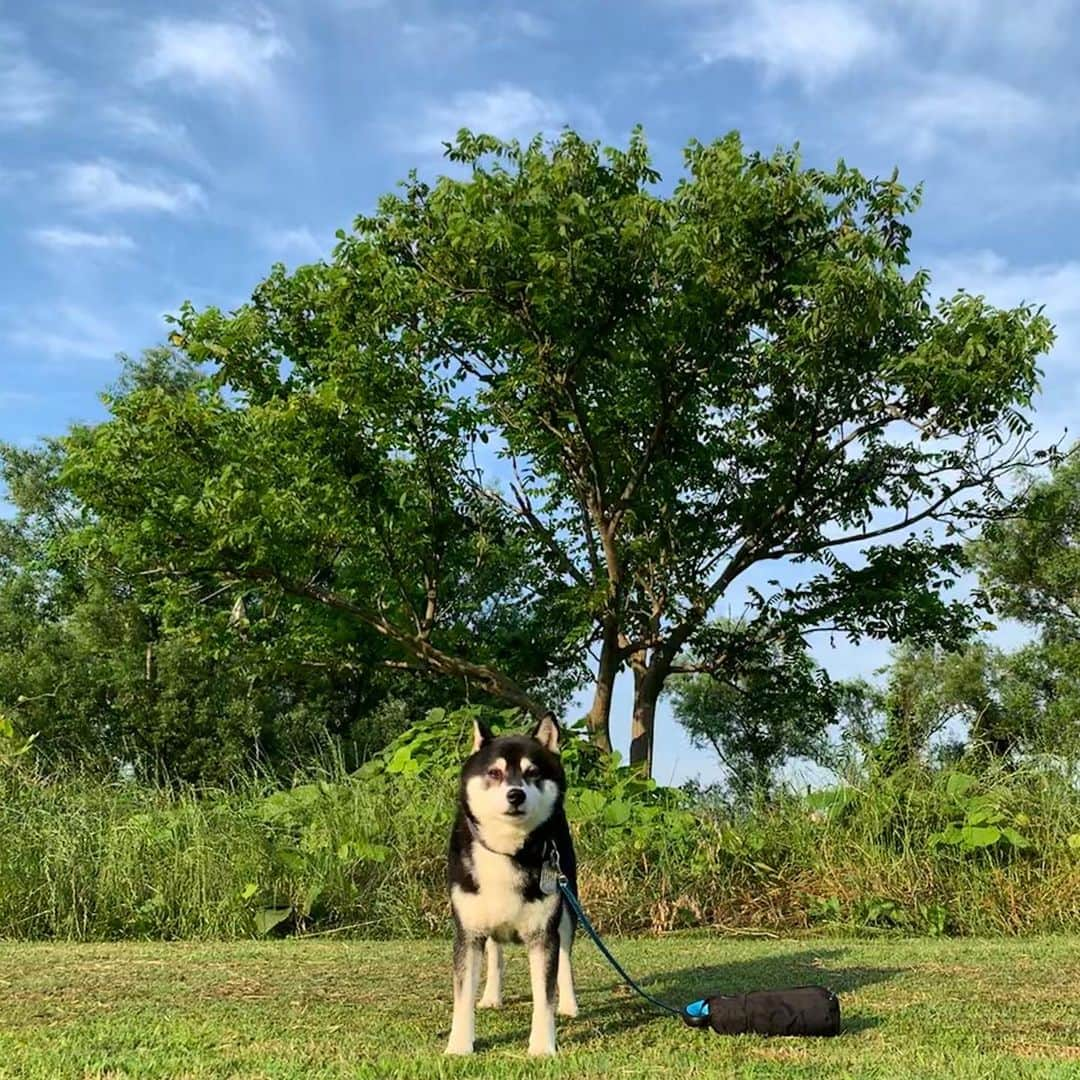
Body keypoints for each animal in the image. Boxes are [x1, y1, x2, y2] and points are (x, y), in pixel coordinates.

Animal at [444, 717, 578, 1054]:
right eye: (494, 773)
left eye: (533, 773)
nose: (515, 795)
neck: (507, 851)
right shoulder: (468, 932)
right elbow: (462, 997)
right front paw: (459, 1046)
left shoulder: (544, 933)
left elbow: (545, 996)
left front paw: (542, 1047)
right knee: (495, 953)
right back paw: (492, 996)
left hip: (568, 910)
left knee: (566, 959)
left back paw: (570, 1006)